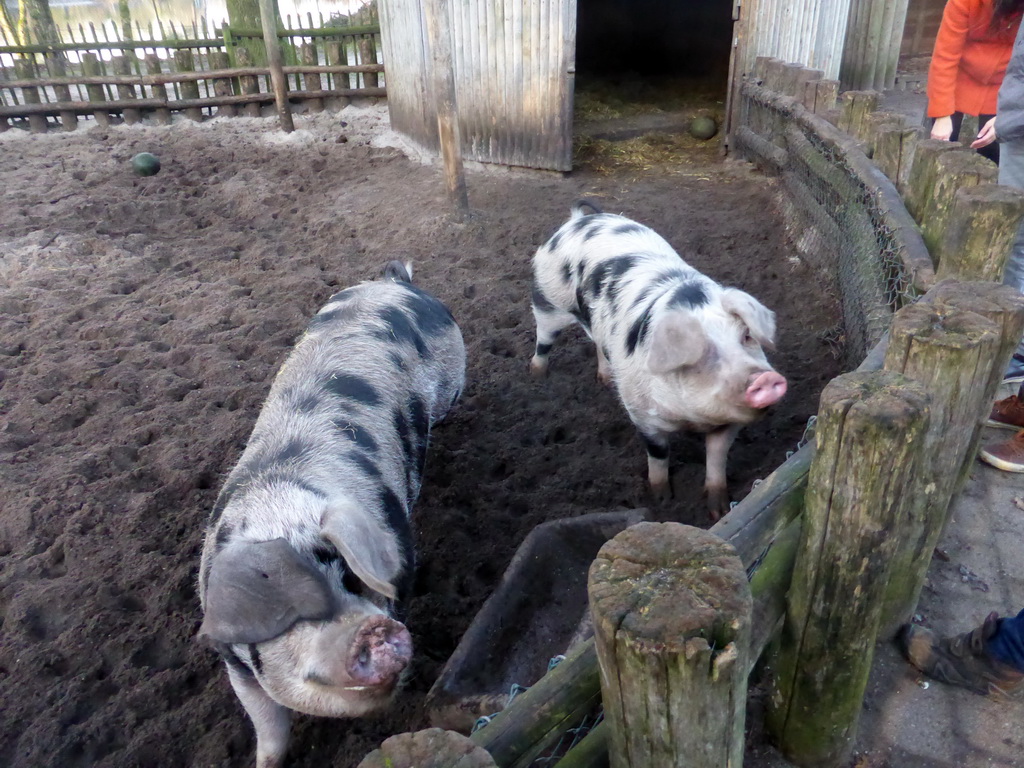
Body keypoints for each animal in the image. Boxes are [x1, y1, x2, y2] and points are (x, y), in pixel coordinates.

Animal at [196, 262, 468, 765]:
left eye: (356, 582)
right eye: (294, 613)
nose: (372, 630)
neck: (281, 513)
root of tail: (393, 283)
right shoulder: (233, 661)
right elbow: (268, 727)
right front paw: (265, 761)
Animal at [532, 201, 786, 520]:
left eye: (747, 336)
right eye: (700, 354)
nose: (764, 378)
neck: (690, 418)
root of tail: (577, 220)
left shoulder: (726, 424)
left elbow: (717, 459)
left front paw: (717, 511)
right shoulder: (642, 414)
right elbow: (658, 457)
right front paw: (662, 501)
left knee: (598, 343)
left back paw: (605, 380)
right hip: (548, 300)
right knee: (543, 339)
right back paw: (538, 376)